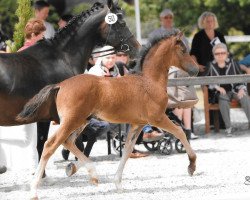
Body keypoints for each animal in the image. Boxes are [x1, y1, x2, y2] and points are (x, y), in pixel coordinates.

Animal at [16, 31, 198, 198]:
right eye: (183, 50)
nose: (196, 70)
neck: (150, 82)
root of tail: (60, 85)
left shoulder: (137, 124)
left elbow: (127, 149)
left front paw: (117, 183)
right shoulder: (158, 118)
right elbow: (180, 132)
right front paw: (191, 166)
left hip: (81, 121)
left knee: (68, 142)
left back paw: (89, 173)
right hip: (71, 121)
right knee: (50, 145)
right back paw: (34, 190)